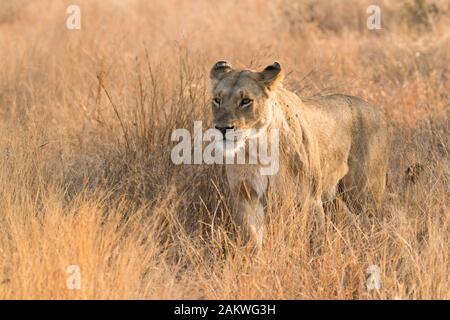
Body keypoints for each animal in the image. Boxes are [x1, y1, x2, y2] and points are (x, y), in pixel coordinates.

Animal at [209, 61, 388, 249]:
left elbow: (315, 241)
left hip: (365, 194)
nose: (221, 128)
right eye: (217, 100)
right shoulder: (246, 195)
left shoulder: (310, 198)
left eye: (246, 101)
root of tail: (377, 112)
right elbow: (253, 239)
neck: (257, 147)